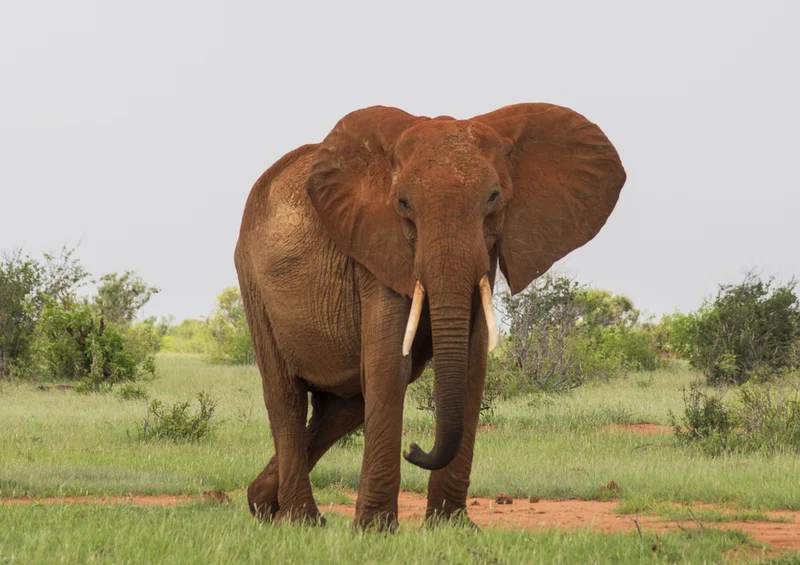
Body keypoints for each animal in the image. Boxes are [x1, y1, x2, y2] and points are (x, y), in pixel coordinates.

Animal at [234, 103, 626, 529]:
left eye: (493, 197)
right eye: (403, 203)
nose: (414, 448)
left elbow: (472, 366)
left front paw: (452, 527)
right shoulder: (376, 249)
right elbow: (391, 364)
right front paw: (375, 530)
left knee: (343, 408)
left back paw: (262, 504)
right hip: (253, 280)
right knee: (286, 396)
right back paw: (301, 521)